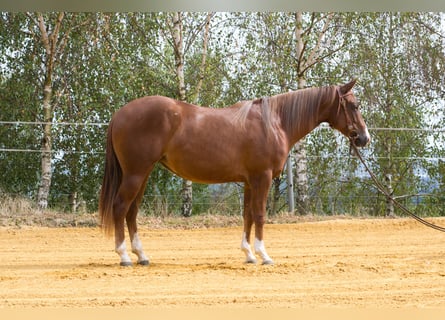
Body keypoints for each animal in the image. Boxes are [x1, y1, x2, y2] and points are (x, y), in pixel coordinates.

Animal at [99, 79, 370, 264]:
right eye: (354, 105)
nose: (364, 138)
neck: (275, 123)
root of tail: (120, 114)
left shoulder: (250, 181)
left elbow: (247, 215)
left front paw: (248, 254)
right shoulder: (262, 178)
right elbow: (260, 214)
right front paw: (264, 255)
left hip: (142, 174)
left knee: (132, 211)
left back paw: (141, 255)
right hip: (135, 173)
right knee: (121, 207)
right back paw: (124, 256)